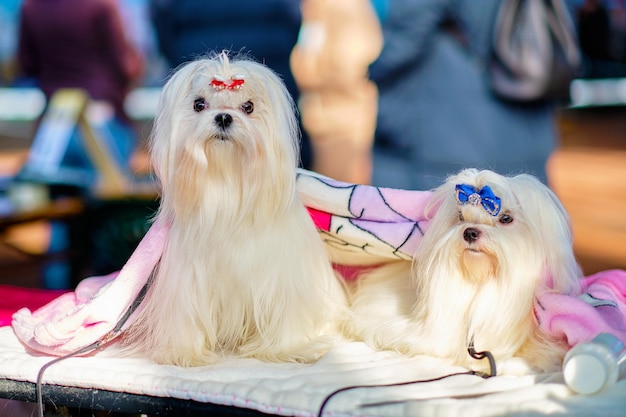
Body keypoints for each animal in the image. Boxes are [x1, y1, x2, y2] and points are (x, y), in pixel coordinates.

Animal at [122, 52, 346, 368]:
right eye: (199, 104)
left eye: (248, 107)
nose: (224, 116)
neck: (227, 188)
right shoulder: (187, 281)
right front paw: (184, 352)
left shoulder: (282, 279)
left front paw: (288, 349)